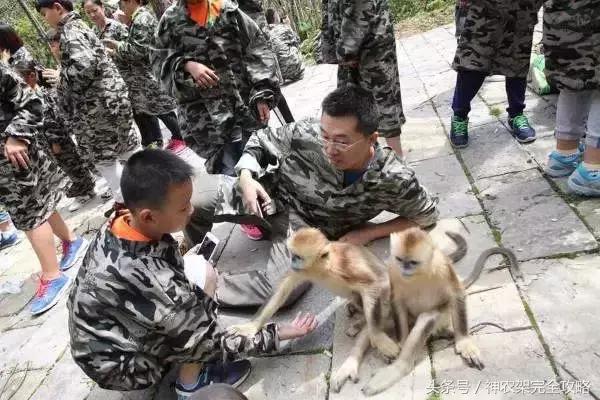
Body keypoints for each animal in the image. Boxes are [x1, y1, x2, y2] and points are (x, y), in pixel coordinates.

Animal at [227, 228, 400, 360]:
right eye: (292, 256)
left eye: (297, 257)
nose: (292, 262)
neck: (324, 267)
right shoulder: (301, 271)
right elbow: (282, 291)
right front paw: (250, 327)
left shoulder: (346, 265)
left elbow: (373, 284)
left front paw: (377, 337)